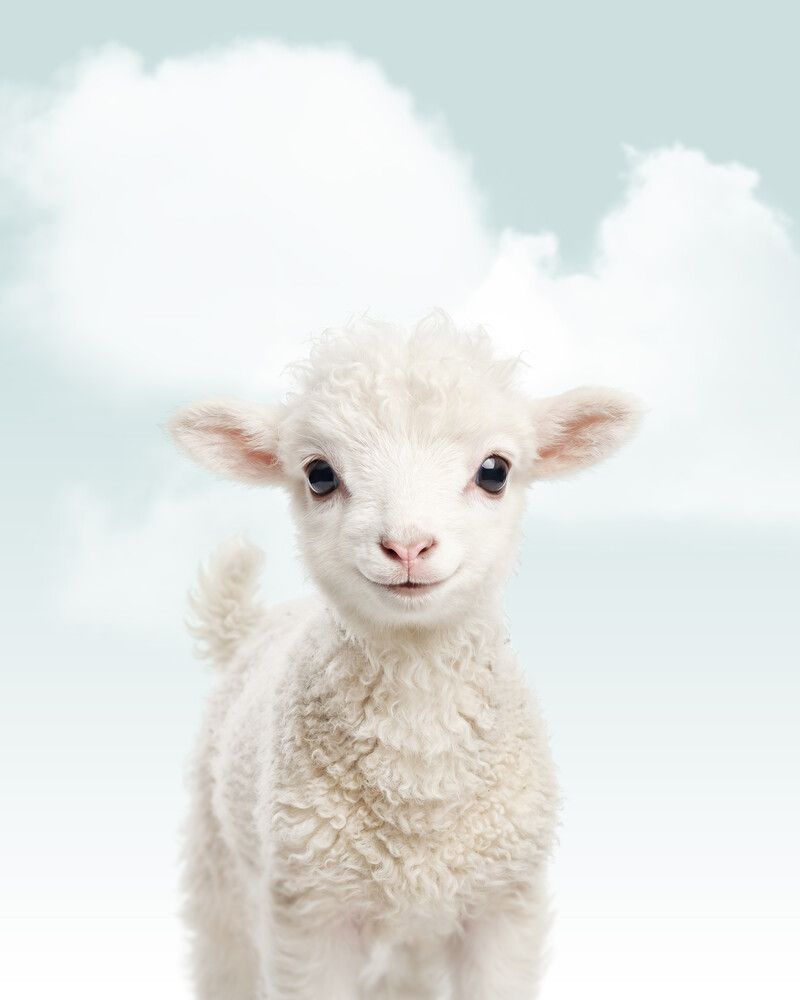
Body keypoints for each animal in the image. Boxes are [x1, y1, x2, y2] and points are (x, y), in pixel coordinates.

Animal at [169, 310, 641, 1000]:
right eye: (319, 474)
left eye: (495, 470)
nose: (408, 546)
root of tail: (254, 623)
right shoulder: (310, 912)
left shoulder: (503, 904)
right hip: (220, 859)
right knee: (223, 954)